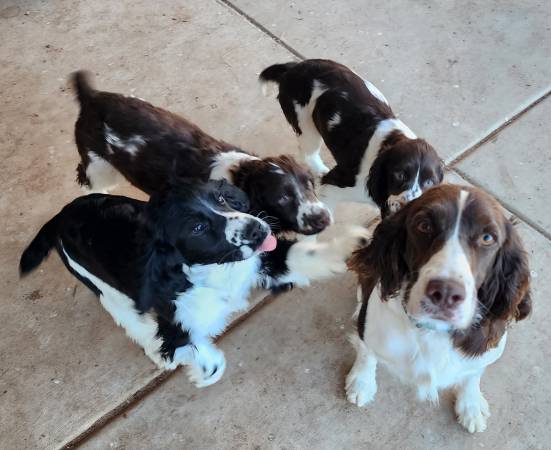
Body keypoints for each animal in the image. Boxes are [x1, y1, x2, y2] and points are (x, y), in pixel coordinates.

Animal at [21, 179, 368, 386]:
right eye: (198, 227)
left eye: (222, 198)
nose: (257, 230)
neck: (219, 270)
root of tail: (60, 217)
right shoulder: (174, 319)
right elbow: (188, 347)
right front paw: (205, 366)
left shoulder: (264, 259)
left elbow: (302, 253)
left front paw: (354, 242)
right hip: (106, 290)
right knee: (132, 321)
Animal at [70, 70, 330, 236]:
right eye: (281, 197)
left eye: (309, 184)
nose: (323, 218)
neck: (240, 175)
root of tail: (91, 97)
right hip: (99, 166)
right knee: (86, 177)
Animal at [260, 59, 446, 217]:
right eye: (399, 174)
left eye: (429, 182)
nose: (406, 206)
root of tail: (293, 68)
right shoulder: (334, 185)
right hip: (306, 126)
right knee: (308, 153)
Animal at [348, 184, 532, 432]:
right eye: (424, 225)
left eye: (487, 238)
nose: (445, 293)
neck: (432, 330)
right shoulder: (370, 332)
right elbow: (367, 353)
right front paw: (362, 382)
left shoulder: (483, 353)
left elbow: (473, 373)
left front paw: (471, 404)